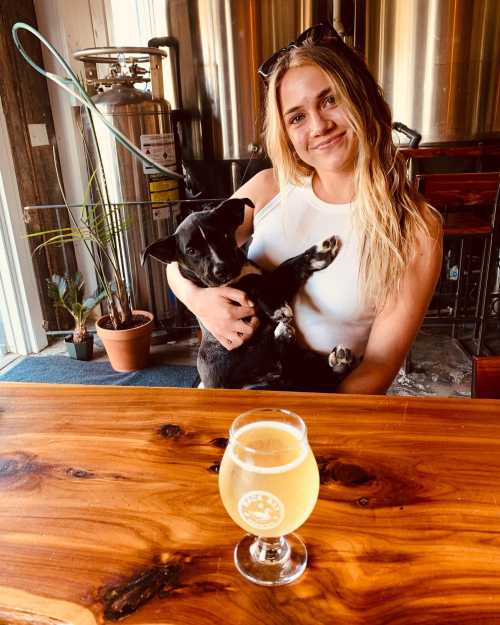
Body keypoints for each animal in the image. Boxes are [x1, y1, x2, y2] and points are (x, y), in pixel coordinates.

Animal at [140, 197, 356, 390]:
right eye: (191, 251)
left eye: (224, 235)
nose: (222, 269)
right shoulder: (227, 295)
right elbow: (253, 281)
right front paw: (277, 307)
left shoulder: (275, 281)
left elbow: (286, 267)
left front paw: (319, 253)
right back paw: (284, 335)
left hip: (301, 363)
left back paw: (338, 362)